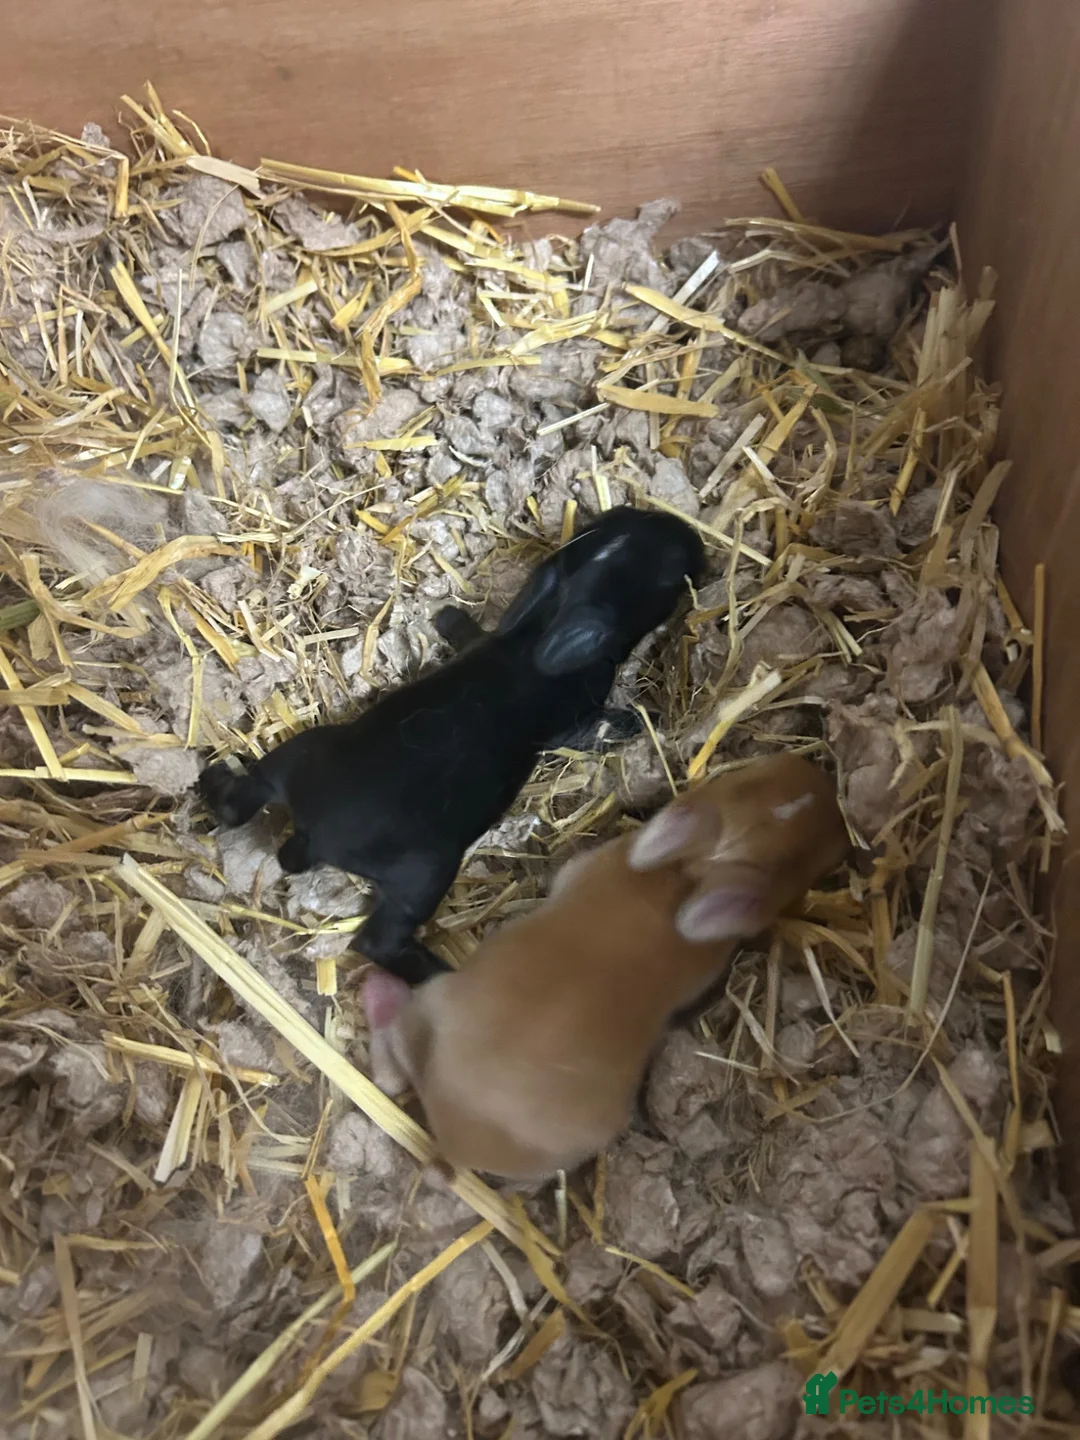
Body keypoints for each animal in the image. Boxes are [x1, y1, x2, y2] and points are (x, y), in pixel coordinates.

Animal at [198, 505, 705, 987]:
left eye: (621, 516)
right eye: (668, 574)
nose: (690, 534)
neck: (539, 635)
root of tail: (313, 837)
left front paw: (447, 618)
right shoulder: (572, 721)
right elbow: (594, 731)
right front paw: (635, 720)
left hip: (301, 754)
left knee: (246, 795)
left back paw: (212, 778)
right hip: (424, 875)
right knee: (378, 940)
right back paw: (436, 973)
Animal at [361, 752, 850, 1184]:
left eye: (744, 778)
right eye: (807, 862)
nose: (823, 780)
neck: (684, 877)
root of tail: (450, 1146)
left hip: (436, 1002)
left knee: (390, 1072)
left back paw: (378, 992)